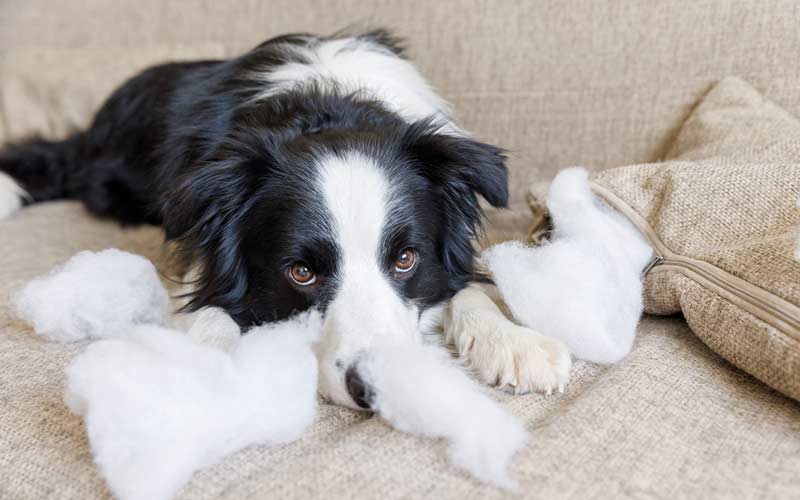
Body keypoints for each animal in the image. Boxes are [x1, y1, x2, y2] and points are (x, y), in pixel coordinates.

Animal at [0, 29, 568, 408]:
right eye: (301, 272)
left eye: (406, 259)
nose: (378, 390)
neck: (328, 107)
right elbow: (208, 307)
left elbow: (465, 286)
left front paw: (515, 343)